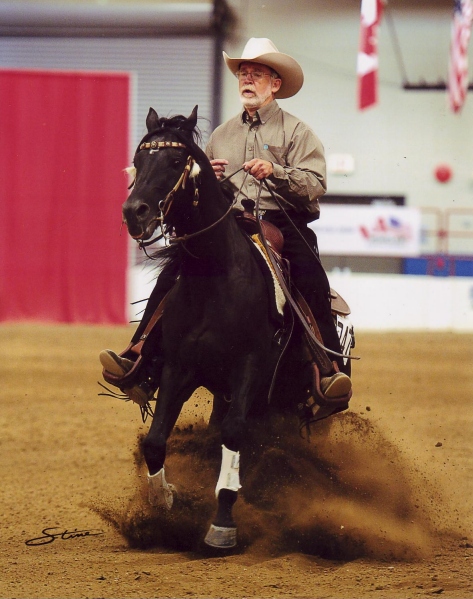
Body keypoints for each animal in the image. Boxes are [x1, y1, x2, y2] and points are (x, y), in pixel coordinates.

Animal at [116, 106, 352, 548]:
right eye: (138, 160)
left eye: (176, 160)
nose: (134, 212)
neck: (216, 276)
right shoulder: (180, 368)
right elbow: (156, 441)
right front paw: (165, 502)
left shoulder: (249, 369)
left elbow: (234, 435)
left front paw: (223, 522)